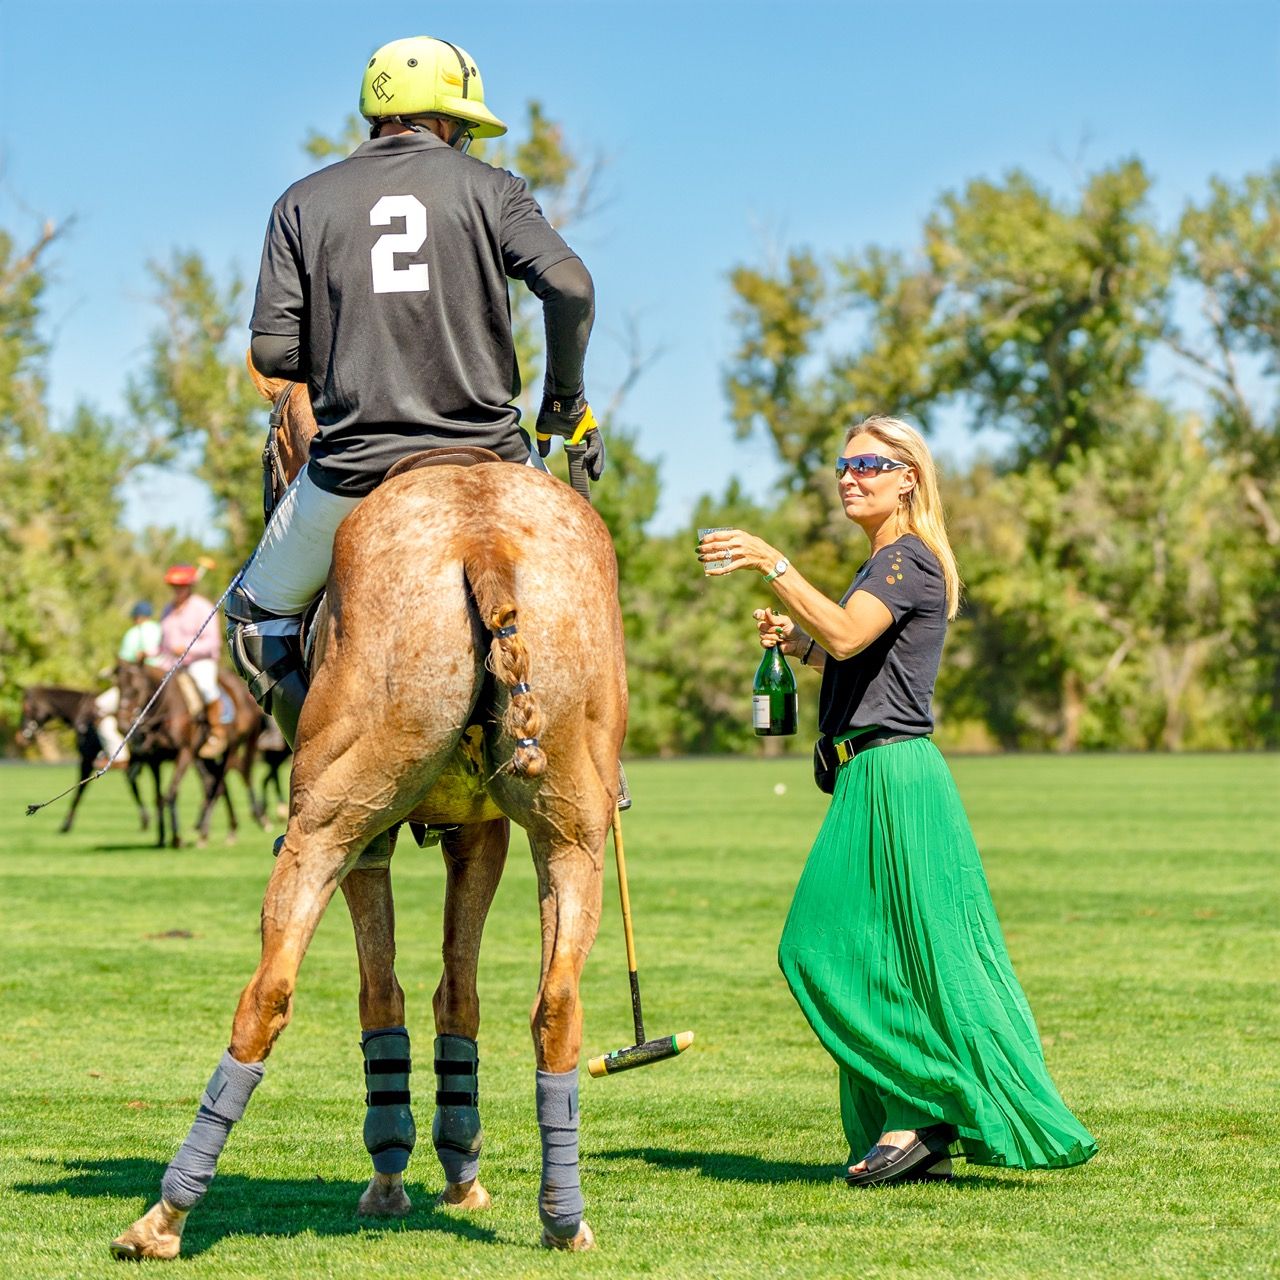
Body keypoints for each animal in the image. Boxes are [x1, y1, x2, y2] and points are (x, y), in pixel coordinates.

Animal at [18, 685, 151, 834]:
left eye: (26, 708)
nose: (20, 738)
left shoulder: (87, 759)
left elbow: (80, 790)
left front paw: (66, 824)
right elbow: (133, 786)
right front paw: (145, 820)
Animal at [114, 663, 264, 848]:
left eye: (136, 689)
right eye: (119, 687)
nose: (122, 725)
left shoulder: (184, 753)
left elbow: (171, 793)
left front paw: (176, 838)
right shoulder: (154, 759)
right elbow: (158, 797)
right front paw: (161, 838)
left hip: (231, 749)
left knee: (220, 784)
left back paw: (209, 831)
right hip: (205, 756)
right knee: (216, 784)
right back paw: (228, 829)